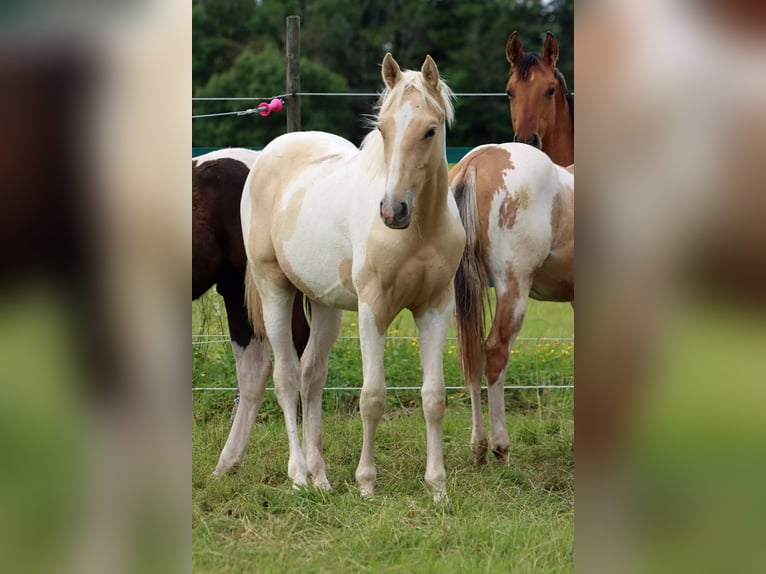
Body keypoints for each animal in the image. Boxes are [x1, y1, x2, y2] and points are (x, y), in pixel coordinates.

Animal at [243, 55, 464, 504]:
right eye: (383, 128)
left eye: (429, 130)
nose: (392, 211)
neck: (420, 231)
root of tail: (267, 156)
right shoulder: (372, 310)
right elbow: (372, 397)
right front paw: (366, 483)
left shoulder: (436, 308)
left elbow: (433, 397)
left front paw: (437, 487)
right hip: (274, 288)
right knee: (286, 379)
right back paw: (298, 476)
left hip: (324, 304)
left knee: (311, 377)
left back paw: (320, 477)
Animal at [452, 144, 572, 468]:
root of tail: (476, 161)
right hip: (514, 288)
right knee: (495, 351)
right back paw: (500, 447)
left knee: (473, 356)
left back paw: (478, 448)